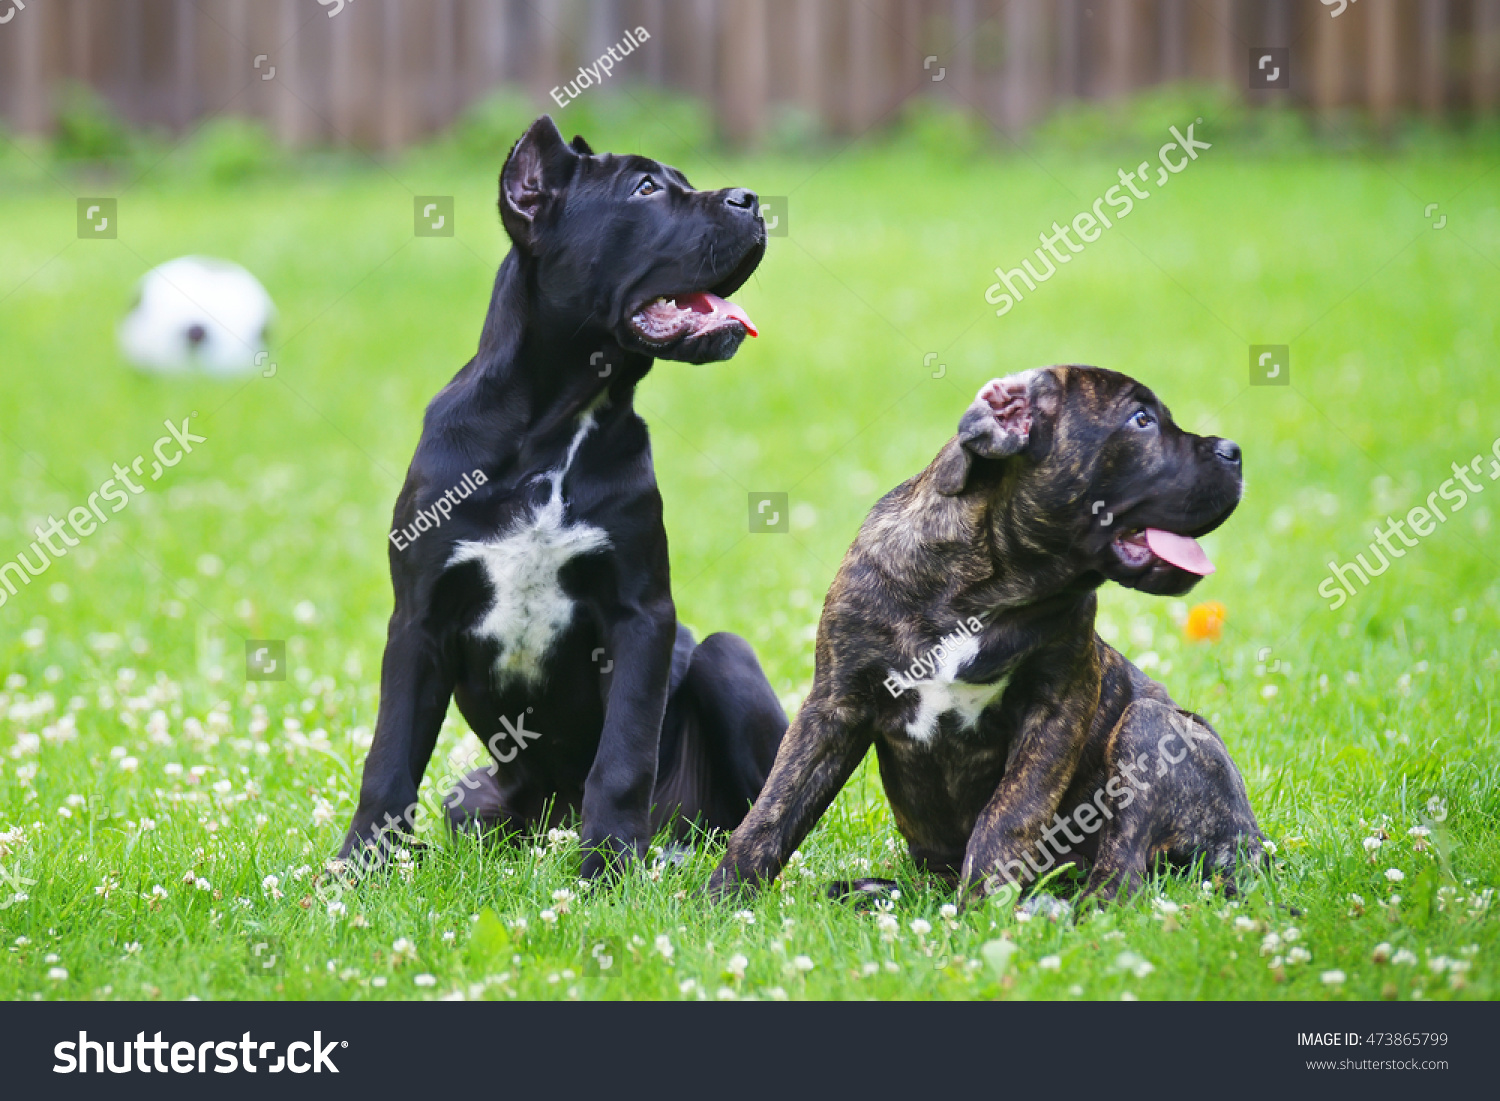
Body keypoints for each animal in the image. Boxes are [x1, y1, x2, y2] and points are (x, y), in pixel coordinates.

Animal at [339, 116, 786, 882]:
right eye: (644, 188)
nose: (751, 200)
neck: (556, 425)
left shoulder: (640, 612)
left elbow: (623, 755)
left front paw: (608, 865)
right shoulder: (419, 618)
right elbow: (389, 755)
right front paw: (359, 866)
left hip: (726, 660)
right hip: (473, 796)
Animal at [714, 369, 1266, 906]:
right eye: (1141, 420)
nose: (1234, 450)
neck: (983, 588)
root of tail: (1255, 849)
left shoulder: (1057, 708)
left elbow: (1009, 815)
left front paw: (981, 911)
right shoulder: (834, 704)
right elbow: (774, 808)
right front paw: (720, 900)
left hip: (1149, 725)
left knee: (1120, 878)